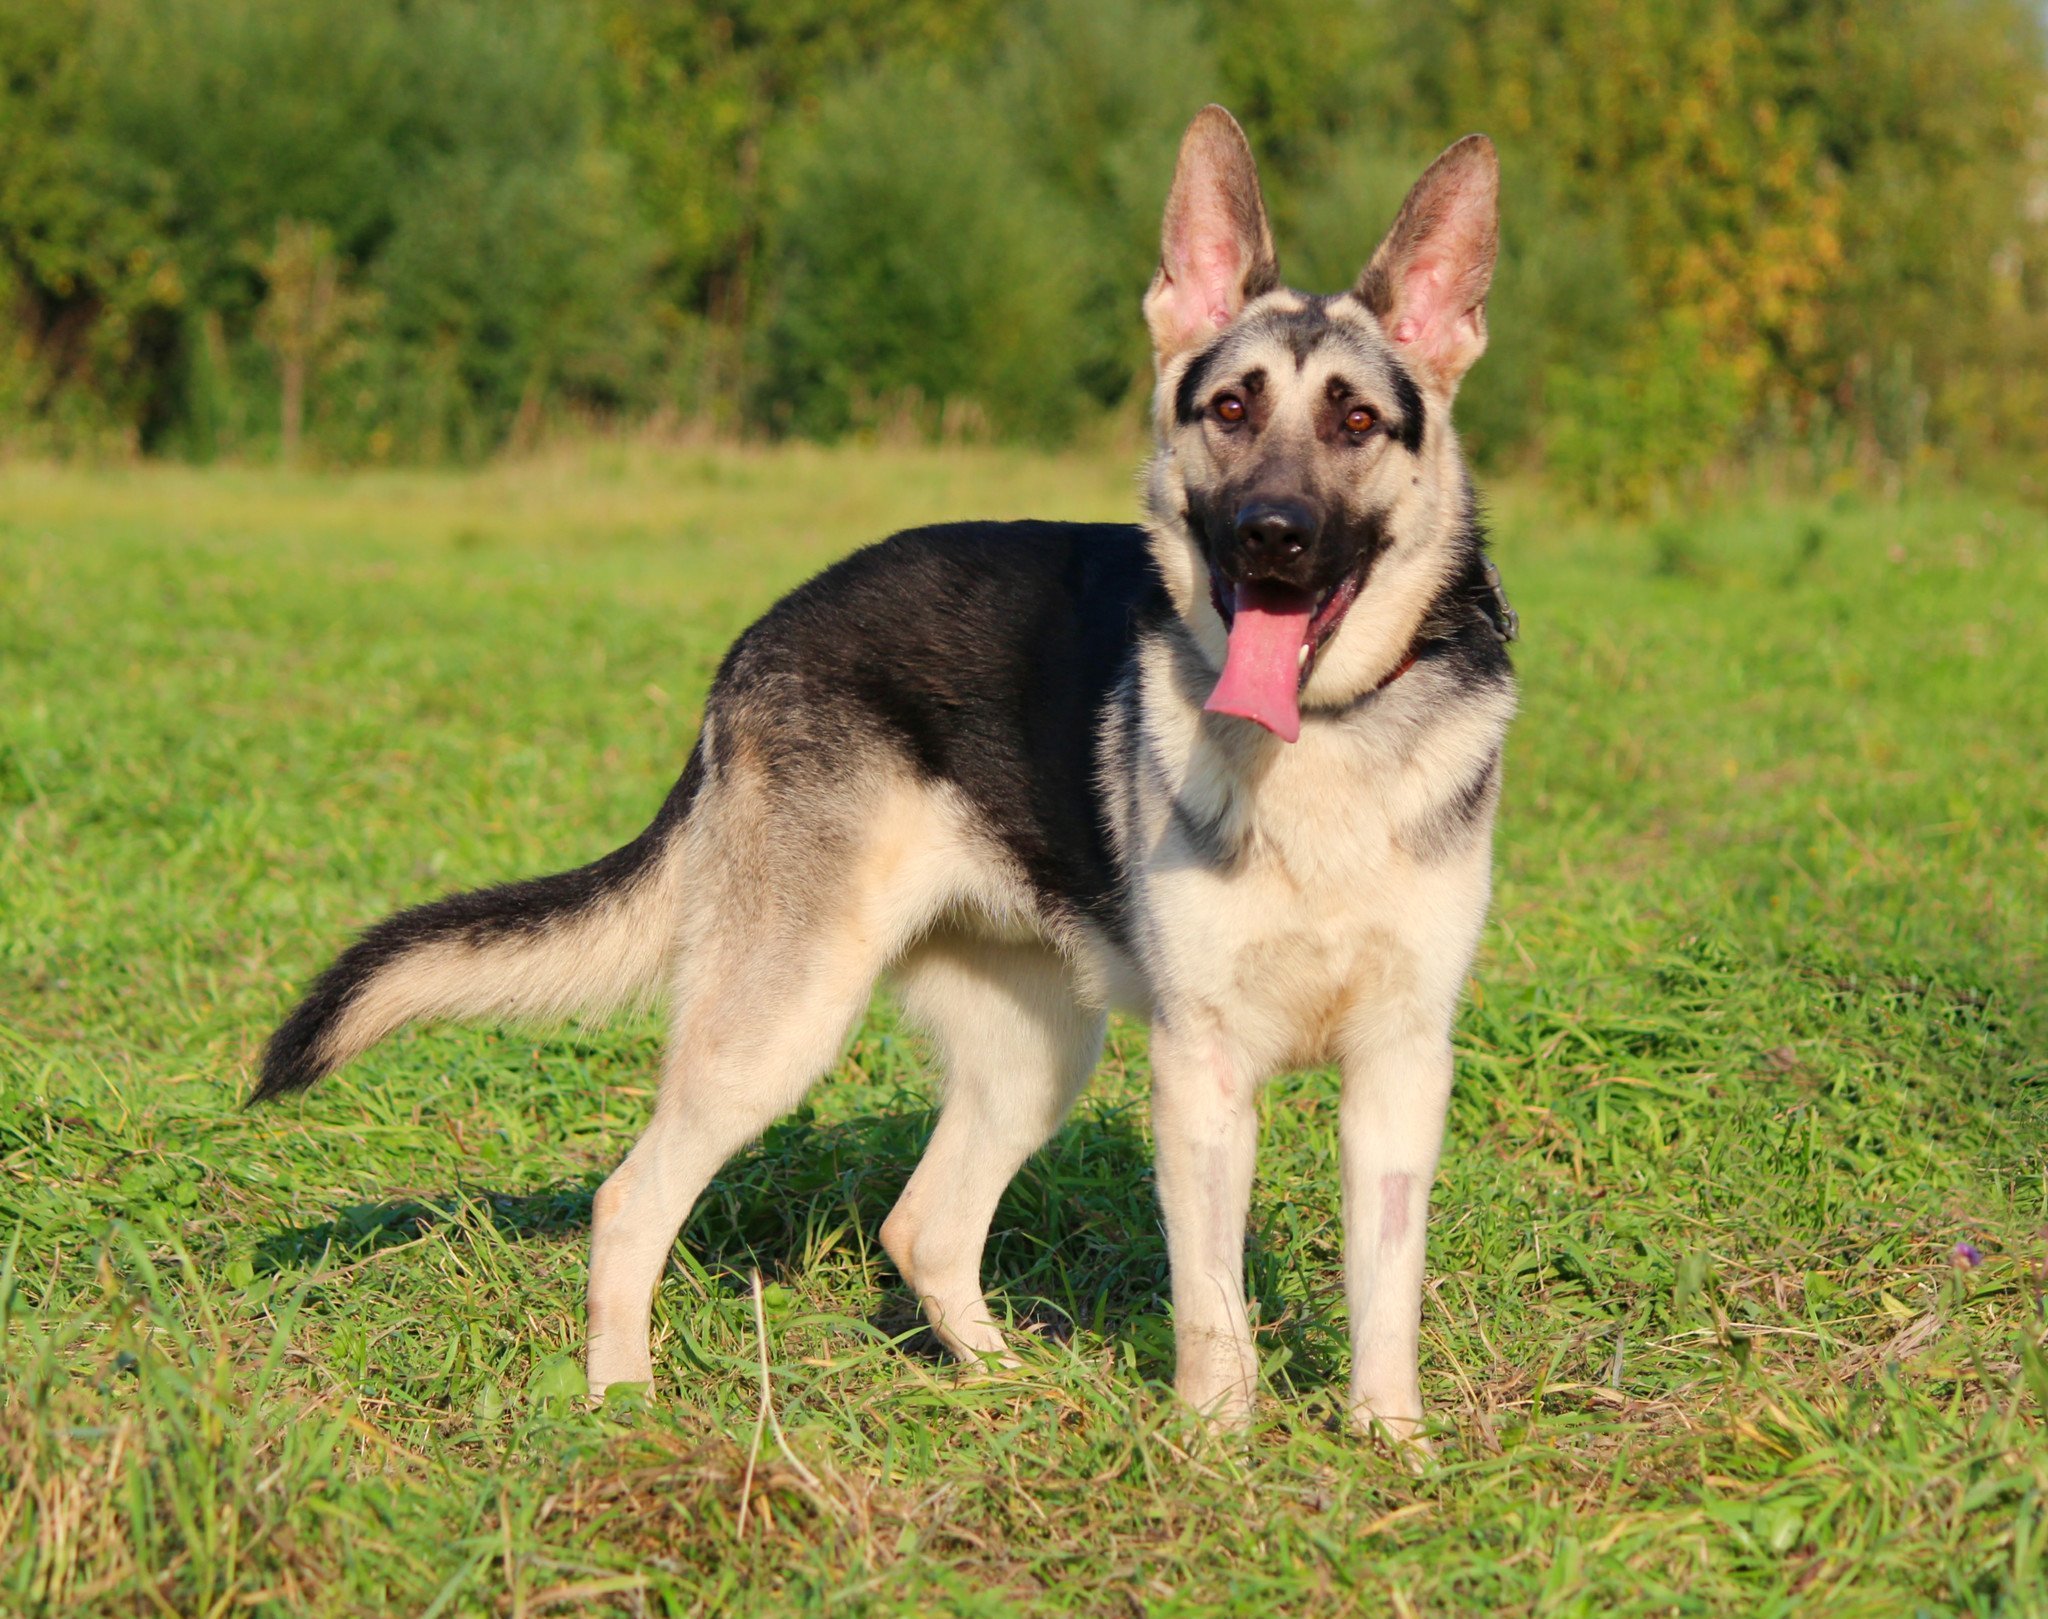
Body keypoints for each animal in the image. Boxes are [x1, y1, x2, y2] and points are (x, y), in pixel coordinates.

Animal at [256, 107, 1515, 1440]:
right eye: (1229, 407)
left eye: (1356, 423)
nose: (1269, 536)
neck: (1323, 741)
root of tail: (760, 633)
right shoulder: (1202, 1070)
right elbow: (1212, 1314)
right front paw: (1217, 1454)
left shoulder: (1399, 1067)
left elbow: (1384, 1297)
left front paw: (1392, 1450)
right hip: (784, 1021)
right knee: (632, 1199)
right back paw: (625, 1401)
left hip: (1036, 1048)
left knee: (924, 1226)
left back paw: (1009, 1386)